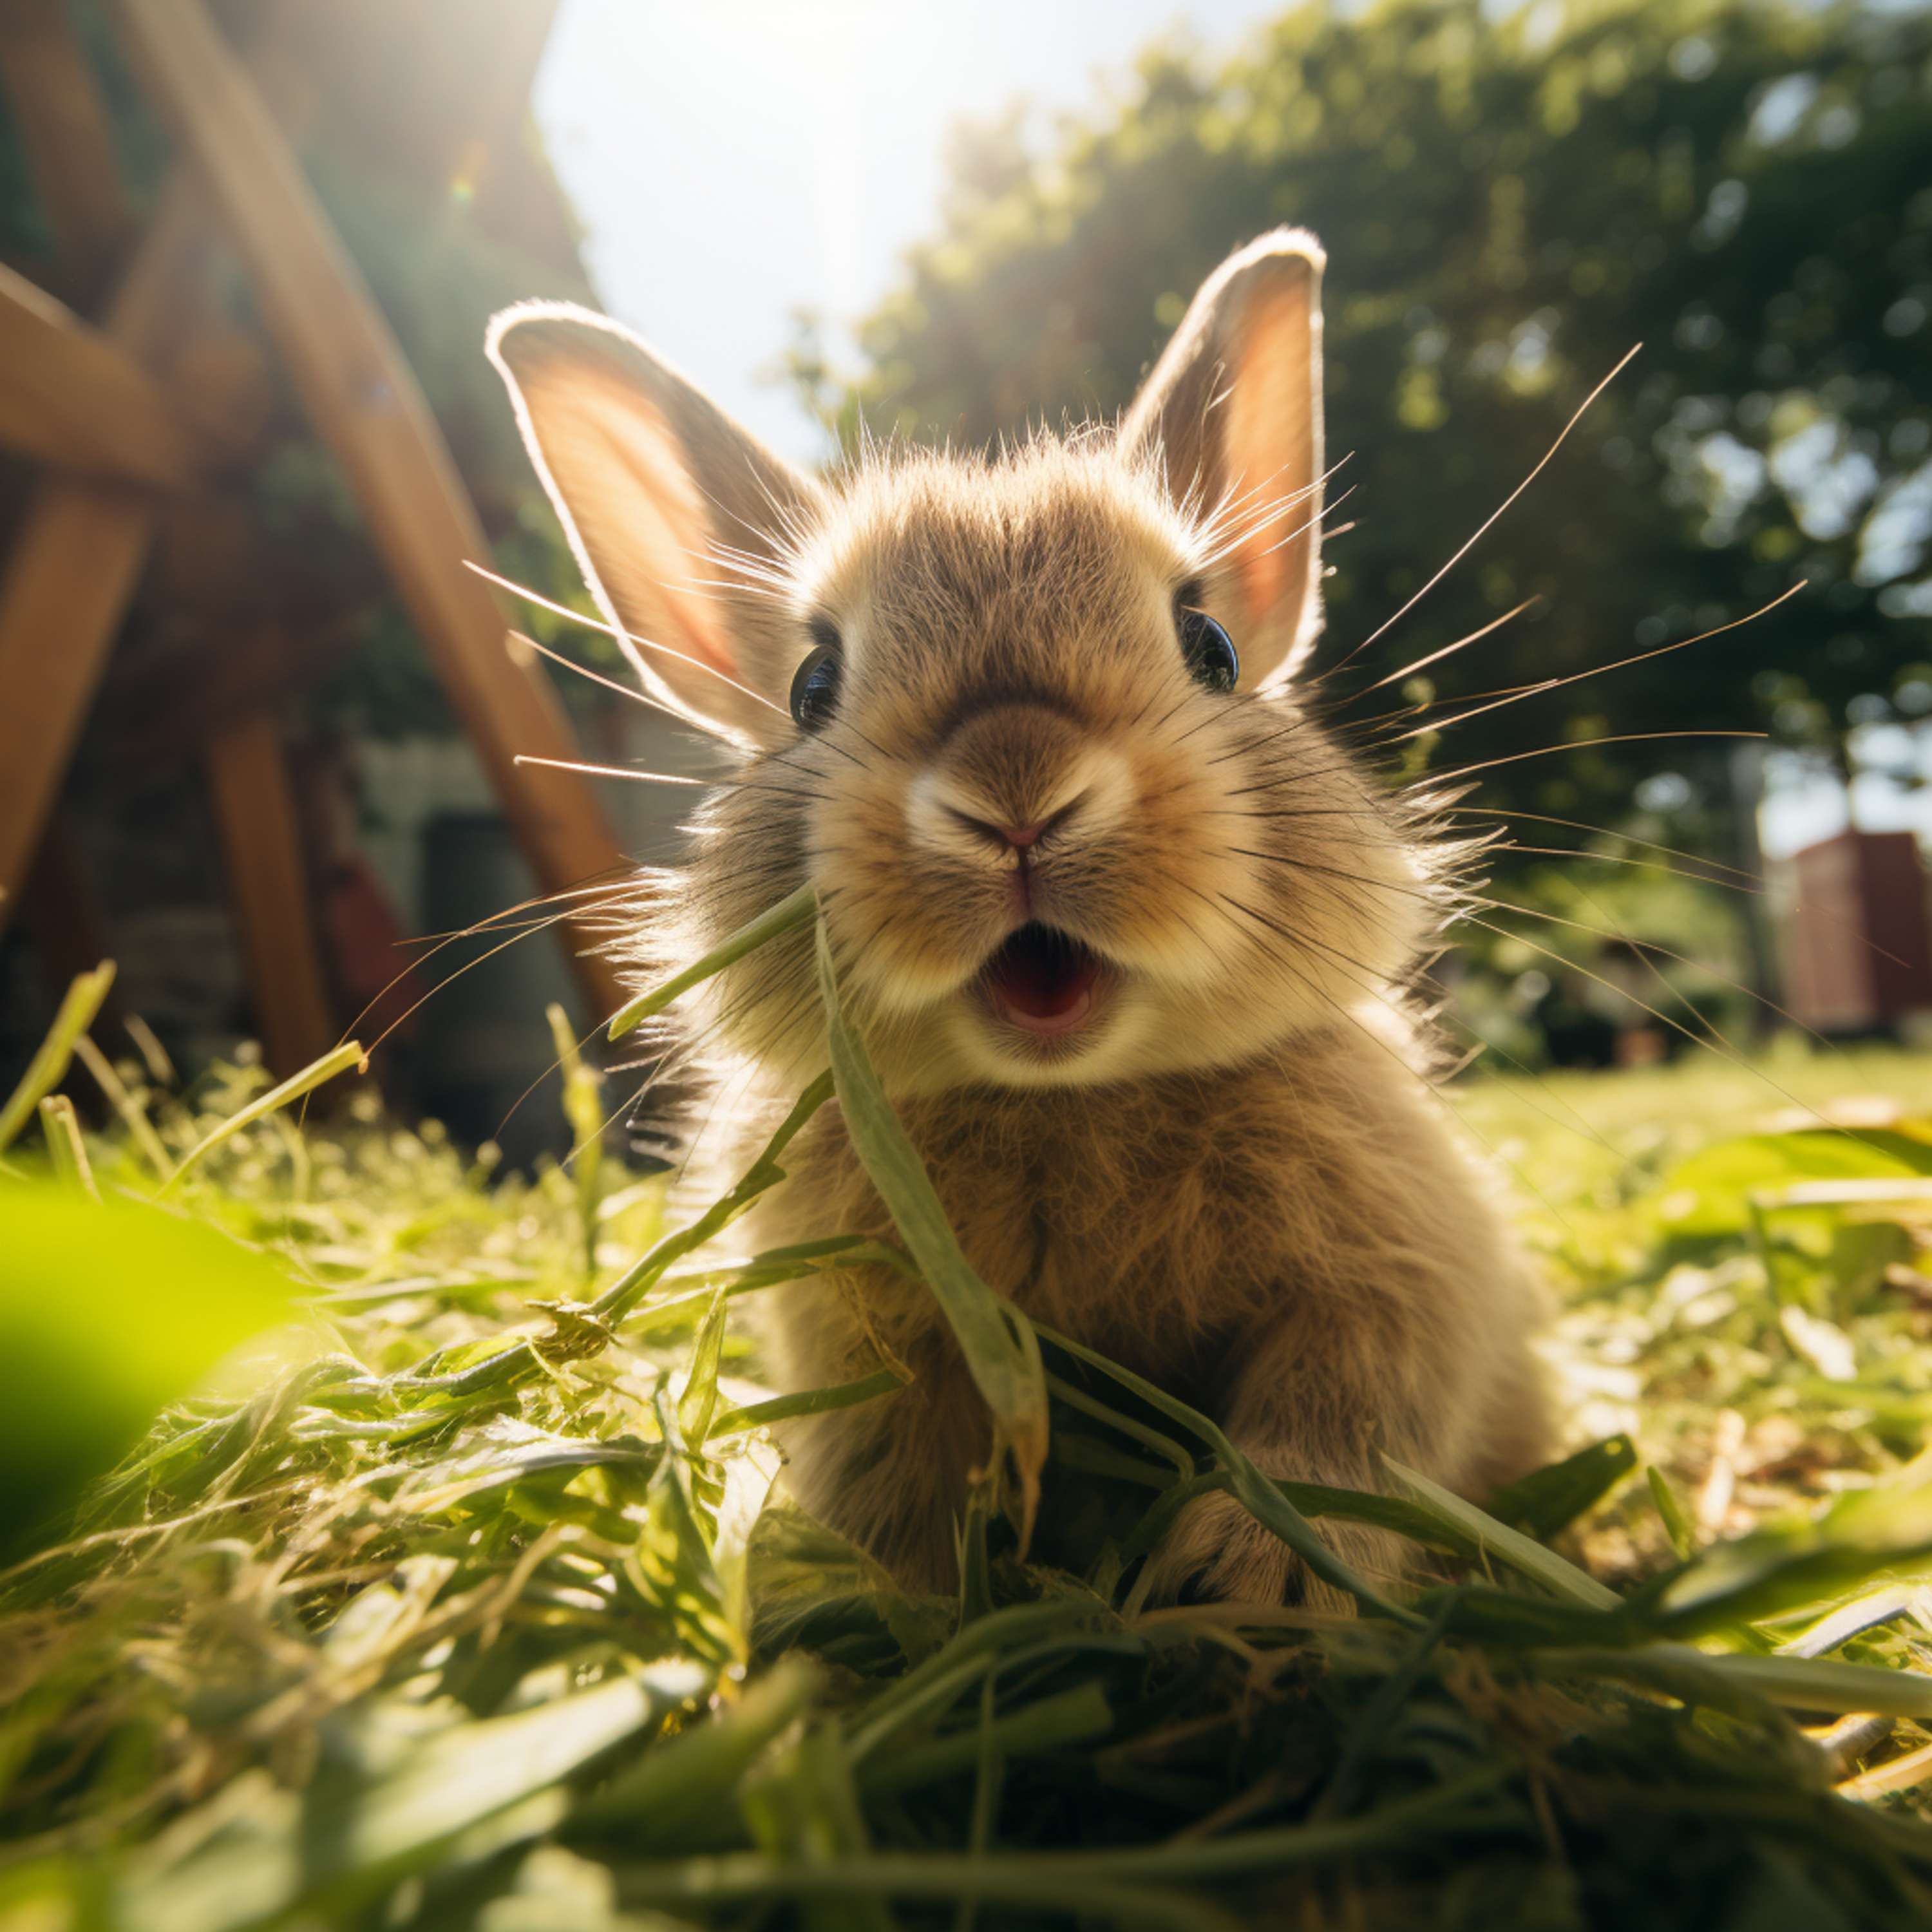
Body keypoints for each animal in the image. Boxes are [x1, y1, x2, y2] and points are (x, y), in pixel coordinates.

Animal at [487, 226, 1554, 1608]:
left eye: (1210, 647)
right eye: (813, 686)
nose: (1017, 792)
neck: (1066, 1095)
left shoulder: (1394, 1284)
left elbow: (1337, 1426)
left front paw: (1252, 1582)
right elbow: (895, 1478)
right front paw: (881, 1599)